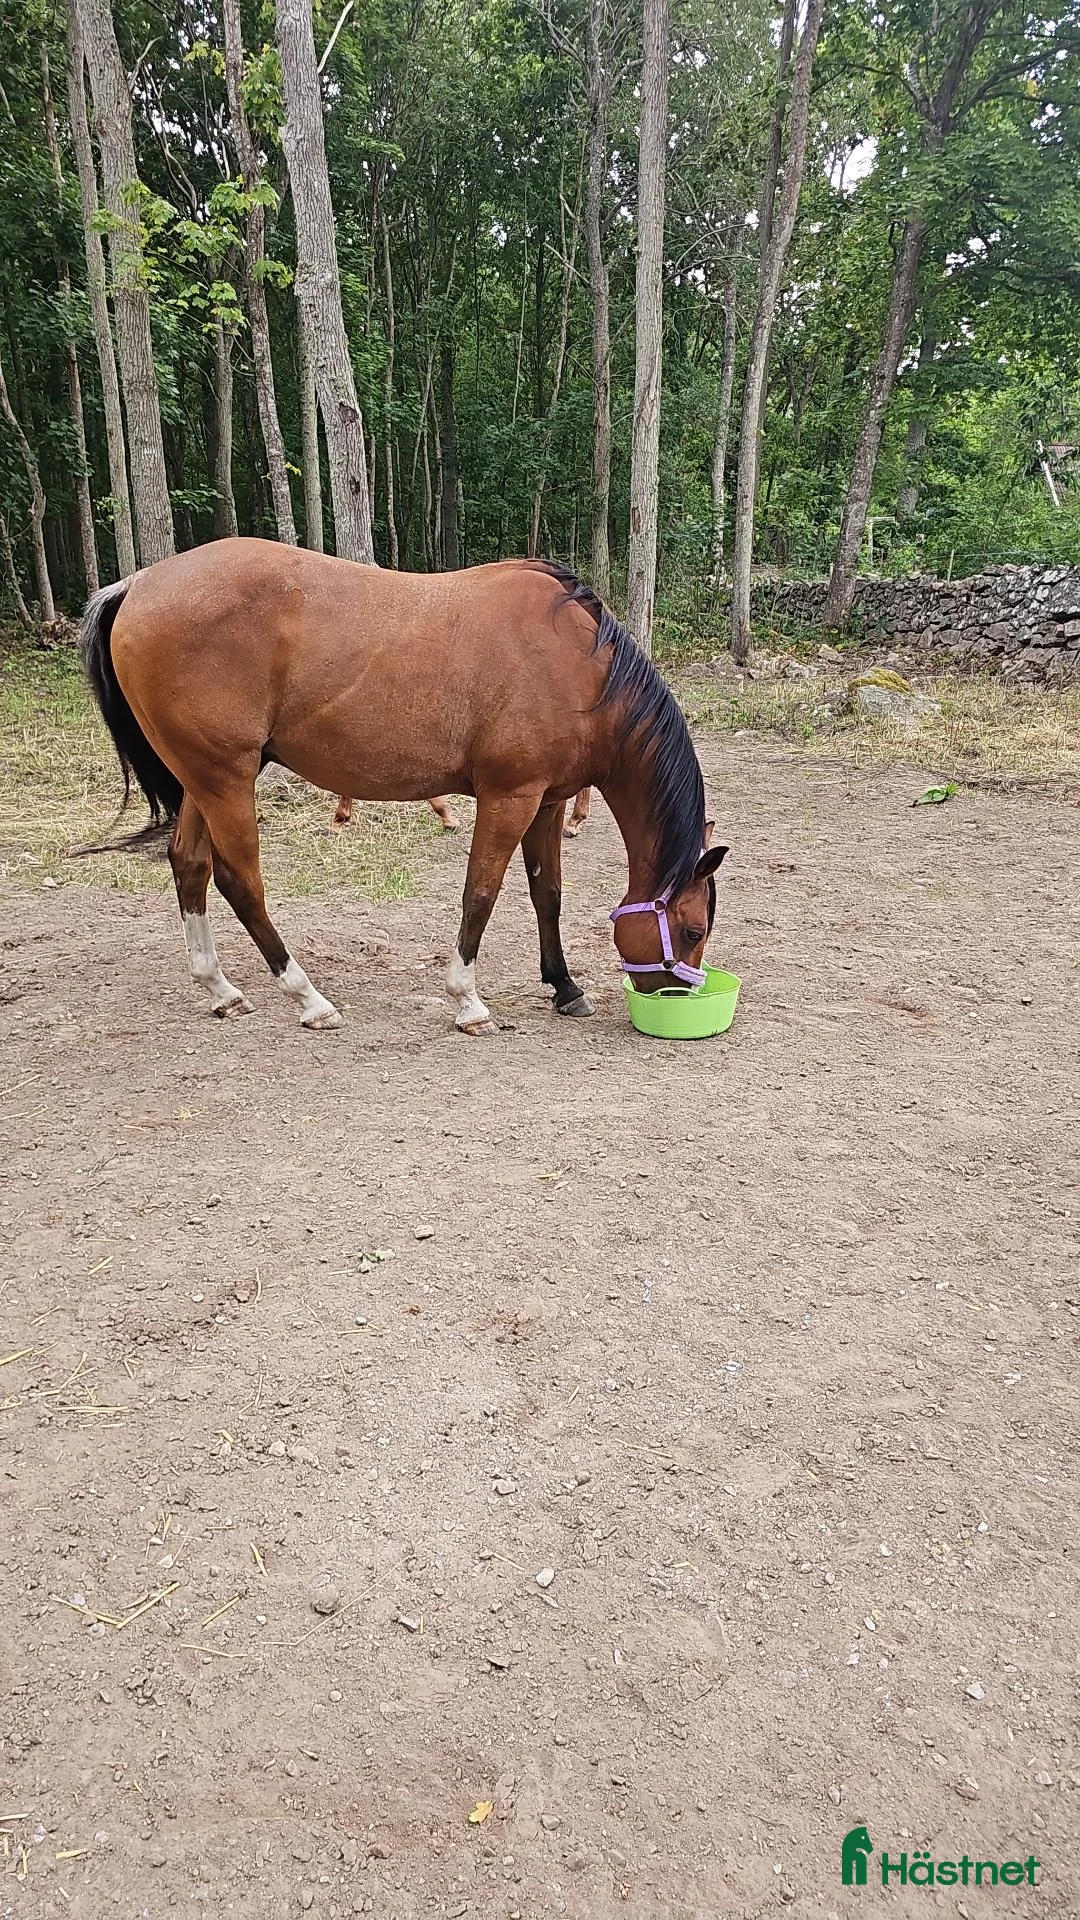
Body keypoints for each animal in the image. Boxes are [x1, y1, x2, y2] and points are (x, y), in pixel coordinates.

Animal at [81, 539, 727, 1034]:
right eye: (692, 929)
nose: (674, 996)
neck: (580, 669)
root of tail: (138, 585)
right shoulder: (509, 797)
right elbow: (480, 893)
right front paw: (467, 1001)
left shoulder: (546, 800)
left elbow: (547, 894)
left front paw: (565, 988)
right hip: (226, 779)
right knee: (240, 882)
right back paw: (309, 999)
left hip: (202, 778)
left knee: (189, 864)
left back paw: (220, 989)